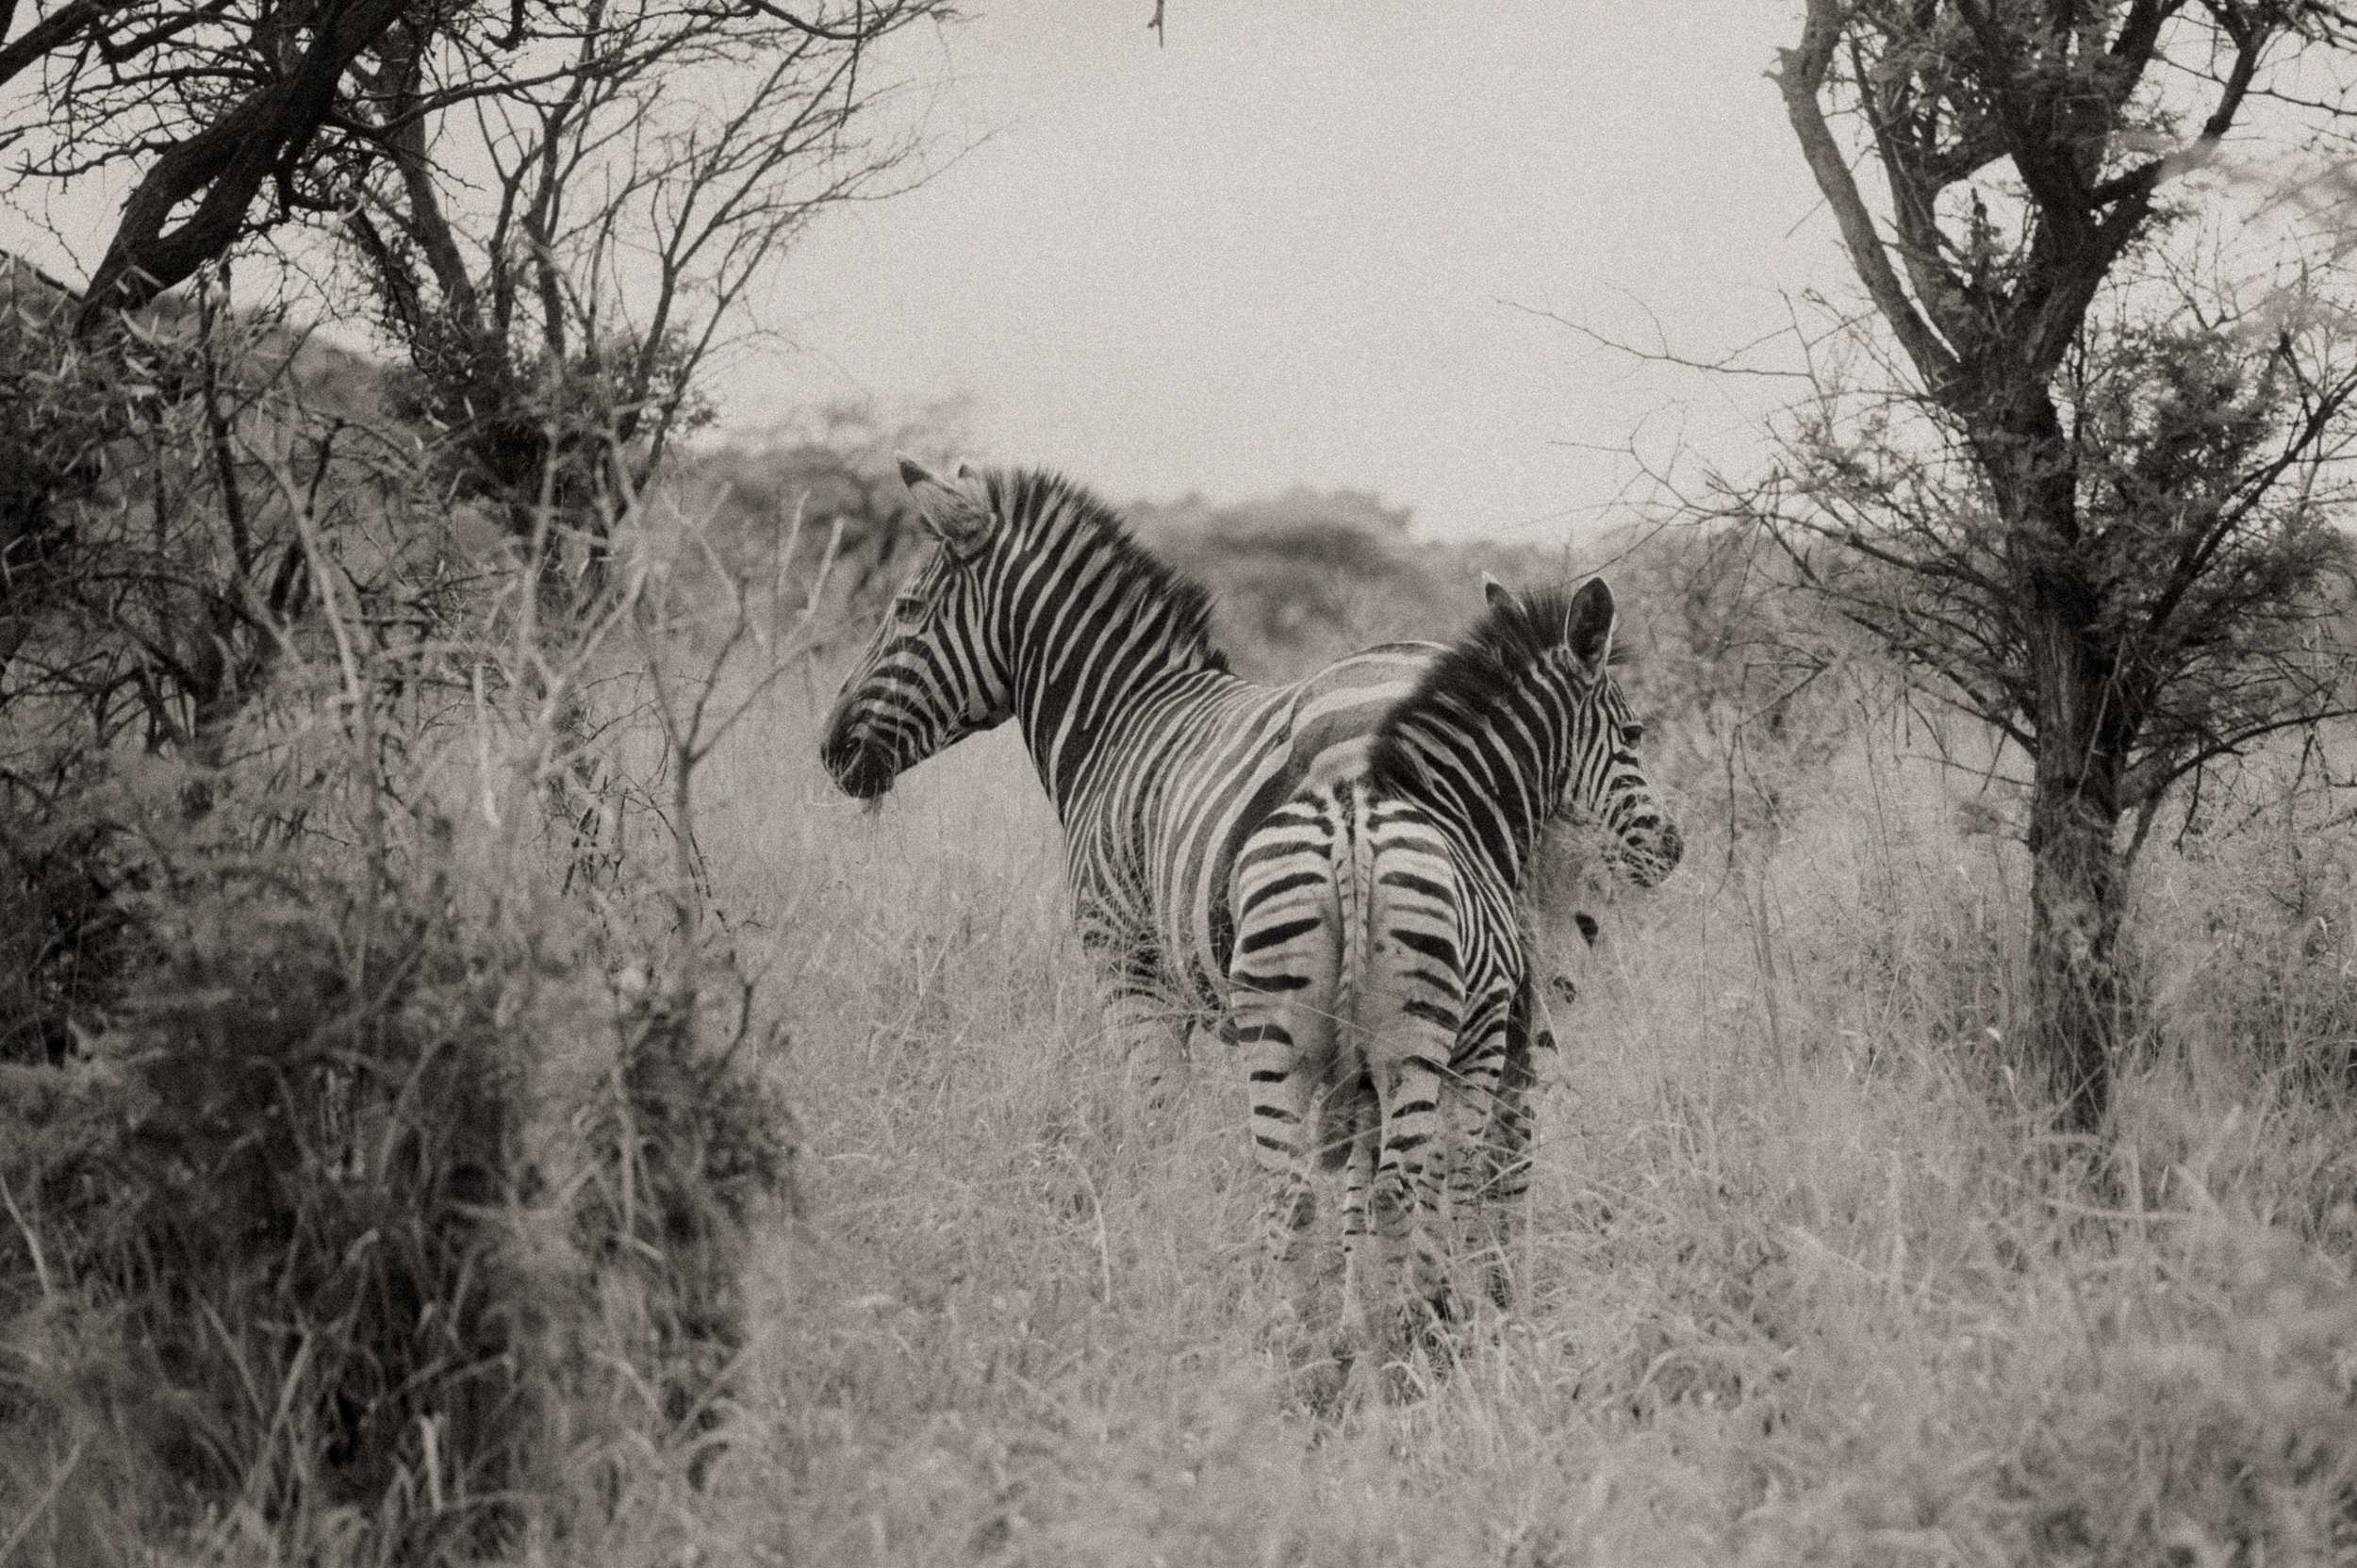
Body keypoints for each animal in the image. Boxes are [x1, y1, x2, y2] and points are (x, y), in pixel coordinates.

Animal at [1226, 574, 1680, 1356]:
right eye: (1634, 735)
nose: (1673, 845)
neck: (1464, 810)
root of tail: (1347, 831)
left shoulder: (1364, 1082)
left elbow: (1357, 1190)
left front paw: (1363, 1319)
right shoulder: (1481, 1037)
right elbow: (1459, 1173)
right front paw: (1452, 1304)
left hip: (1277, 1041)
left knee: (1289, 1193)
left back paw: (1288, 1347)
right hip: (1416, 1040)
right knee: (1398, 1186)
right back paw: (1408, 1332)